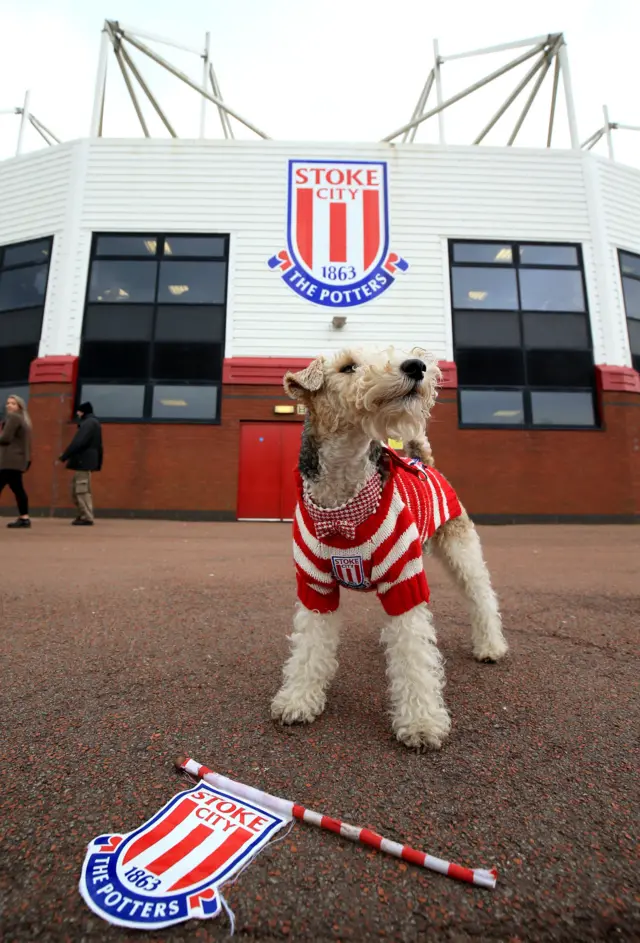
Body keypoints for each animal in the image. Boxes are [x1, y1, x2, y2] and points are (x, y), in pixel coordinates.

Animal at [272, 346, 510, 752]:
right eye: (347, 367)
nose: (417, 366)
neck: (343, 506)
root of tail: (424, 461)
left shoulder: (404, 580)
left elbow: (414, 658)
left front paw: (421, 724)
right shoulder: (315, 587)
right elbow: (309, 649)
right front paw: (298, 701)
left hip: (460, 549)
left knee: (482, 598)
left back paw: (490, 648)